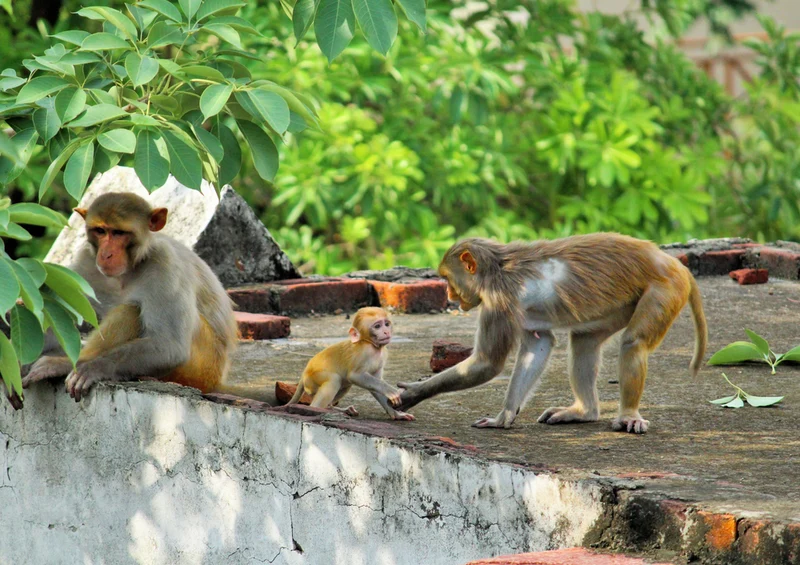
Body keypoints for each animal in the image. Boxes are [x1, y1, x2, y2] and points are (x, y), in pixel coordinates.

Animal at [20, 192, 237, 402]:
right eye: (100, 231)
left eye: (119, 233)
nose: (106, 254)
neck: (129, 270)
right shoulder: (86, 261)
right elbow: (55, 315)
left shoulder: (164, 263)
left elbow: (169, 346)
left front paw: (91, 367)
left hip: (201, 367)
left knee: (131, 310)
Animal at [394, 234, 707, 434]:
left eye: (448, 279)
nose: (448, 295)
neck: (497, 267)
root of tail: (672, 262)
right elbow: (538, 345)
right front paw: (505, 415)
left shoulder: (497, 300)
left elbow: (488, 363)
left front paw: (413, 393)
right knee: (583, 343)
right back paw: (584, 412)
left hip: (664, 288)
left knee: (634, 342)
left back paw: (628, 414)